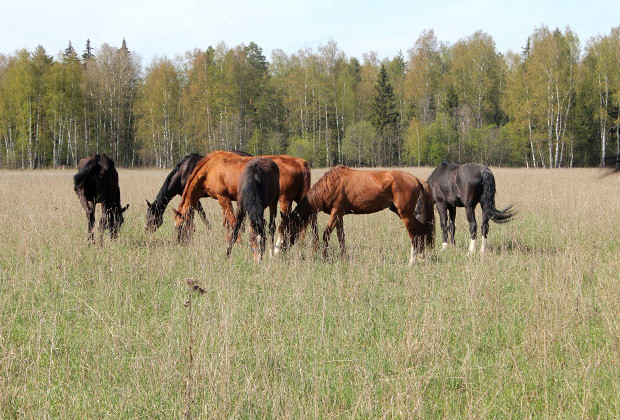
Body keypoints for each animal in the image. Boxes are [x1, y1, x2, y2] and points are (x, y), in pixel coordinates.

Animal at [174, 149, 320, 244]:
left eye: (179, 225)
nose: (179, 242)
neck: (210, 168)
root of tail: (300, 162)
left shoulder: (223, 198)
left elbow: (232, 220)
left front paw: (237, 240)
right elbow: (226, 222)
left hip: (285, 200)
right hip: (302, 198)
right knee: (312, 220)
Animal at [274, 165, 434, 266]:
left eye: (286, 232)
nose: (277, 252)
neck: (330, 184)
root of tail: (416, 179)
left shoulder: (336, 213)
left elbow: (326, 234)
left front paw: (324, 256)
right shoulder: (340, 216)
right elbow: (341, 237)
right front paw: (343, 257)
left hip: (405, 215)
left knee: (413, 235)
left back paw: (412, 261)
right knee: (422, 231)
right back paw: (422, 257)